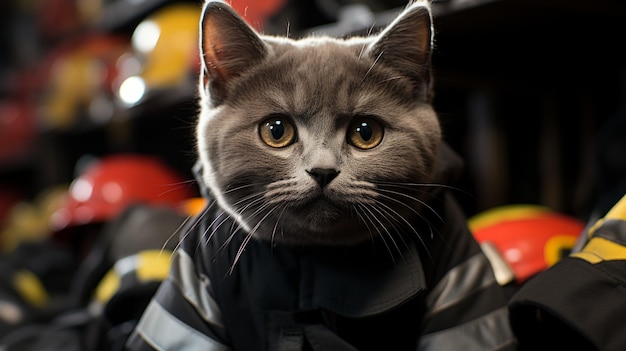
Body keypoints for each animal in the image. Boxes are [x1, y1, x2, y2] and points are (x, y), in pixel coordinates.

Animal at [128, 1, 516, 350]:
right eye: (276, 130)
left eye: (365, 132)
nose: (323, 171)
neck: (316, 258)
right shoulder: (192, 286)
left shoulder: (460, 279)